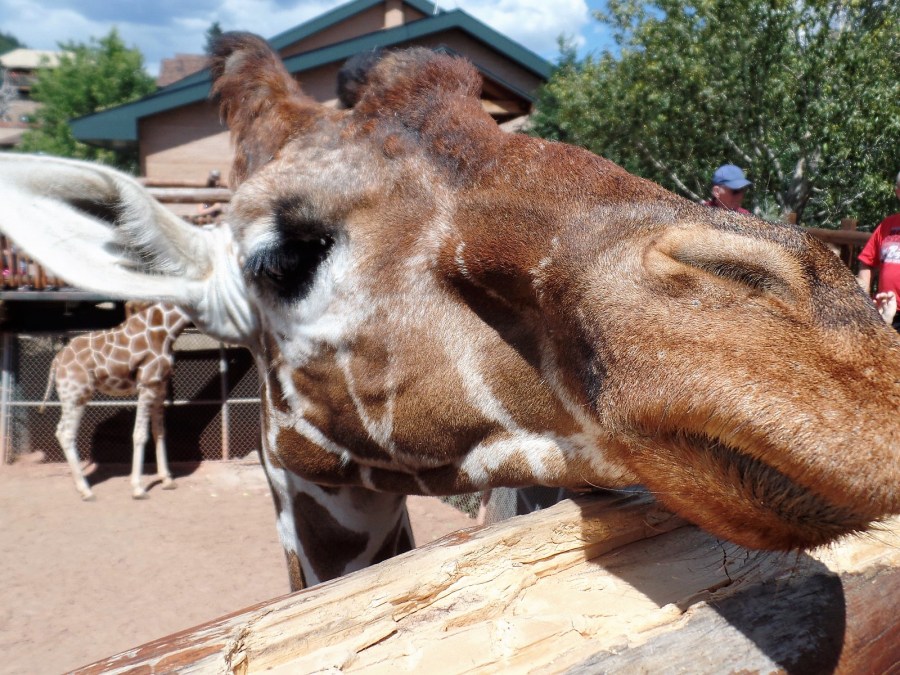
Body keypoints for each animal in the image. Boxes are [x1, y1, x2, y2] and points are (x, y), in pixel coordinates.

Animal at [40, 302, 192, 500]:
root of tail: (56, 362)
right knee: (66, 433)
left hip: (71, 396)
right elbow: (140, 434)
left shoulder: (160, 386)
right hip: (76, 394)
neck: (166, 329)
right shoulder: (147, 385)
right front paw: (138, 488)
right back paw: (86, 490)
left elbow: (159, 431)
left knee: (60, 431)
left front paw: (167, 480)